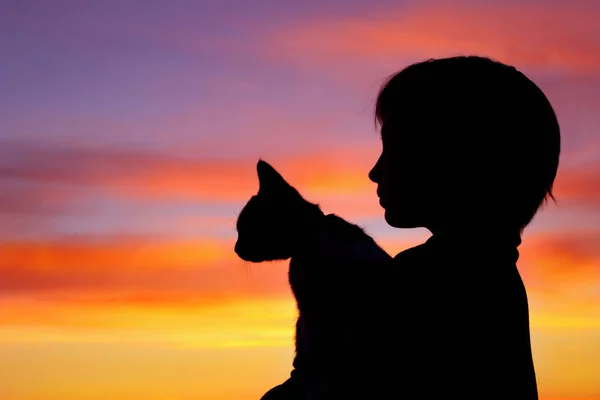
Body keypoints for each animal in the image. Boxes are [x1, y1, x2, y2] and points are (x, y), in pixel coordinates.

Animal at [232, 160, 392, 400]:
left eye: (244, 228)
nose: (236, 248)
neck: (310, 241)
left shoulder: (318, 311)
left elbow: (316, 353)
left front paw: (313, 384)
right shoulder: (309, 312)